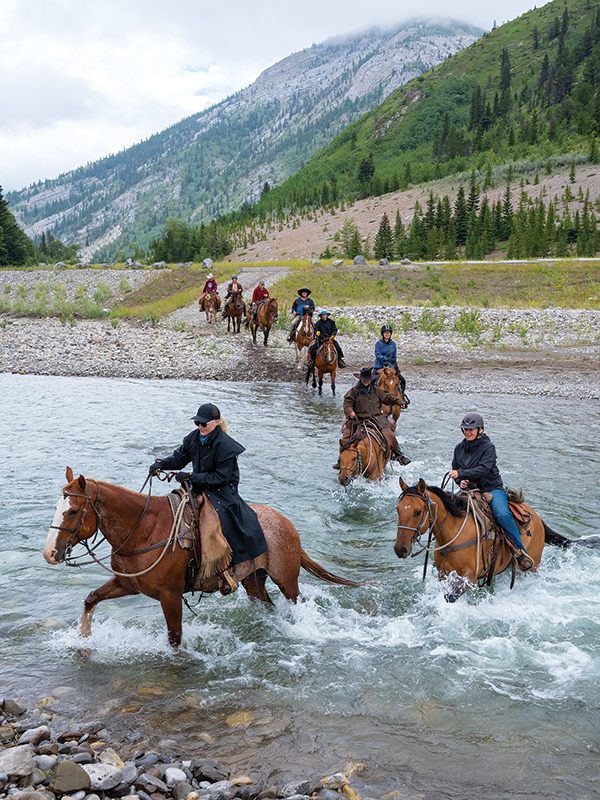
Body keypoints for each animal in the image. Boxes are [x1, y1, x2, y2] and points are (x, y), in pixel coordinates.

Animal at [44, 468, 362, 649]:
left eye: (73, 511)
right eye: (58, 506)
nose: (50, 553)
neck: (144, 529)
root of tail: (287, 523)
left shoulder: (170, 596)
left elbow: (174, 637)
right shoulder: (127, 585)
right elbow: (91, 599)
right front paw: (84, 638)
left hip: (286, 580)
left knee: (297, 603)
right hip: (253, 580)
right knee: (266, 605)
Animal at [393, 477, 556, 602]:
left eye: (418, 511)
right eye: (398, 509)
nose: (400, 549)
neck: (454, 532)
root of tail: (537, 517)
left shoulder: (469, 578)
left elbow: (449, 597)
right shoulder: (443, 574)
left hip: (533, 566)